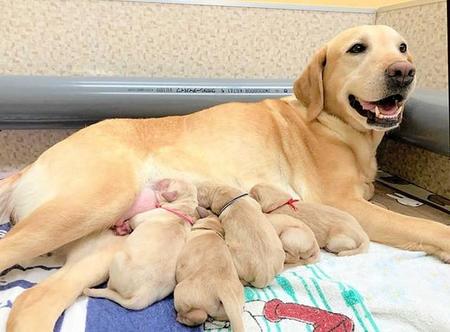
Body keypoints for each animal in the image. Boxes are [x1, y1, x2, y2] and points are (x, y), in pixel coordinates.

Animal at [1, 24, 448, 330]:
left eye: (403, 47)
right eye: (357, 48)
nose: (404, 71)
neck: (335, 125)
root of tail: (32, 165)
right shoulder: (344, 203)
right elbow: (424, 225)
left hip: (106, 243)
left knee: (34, 301)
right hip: (91, 203)